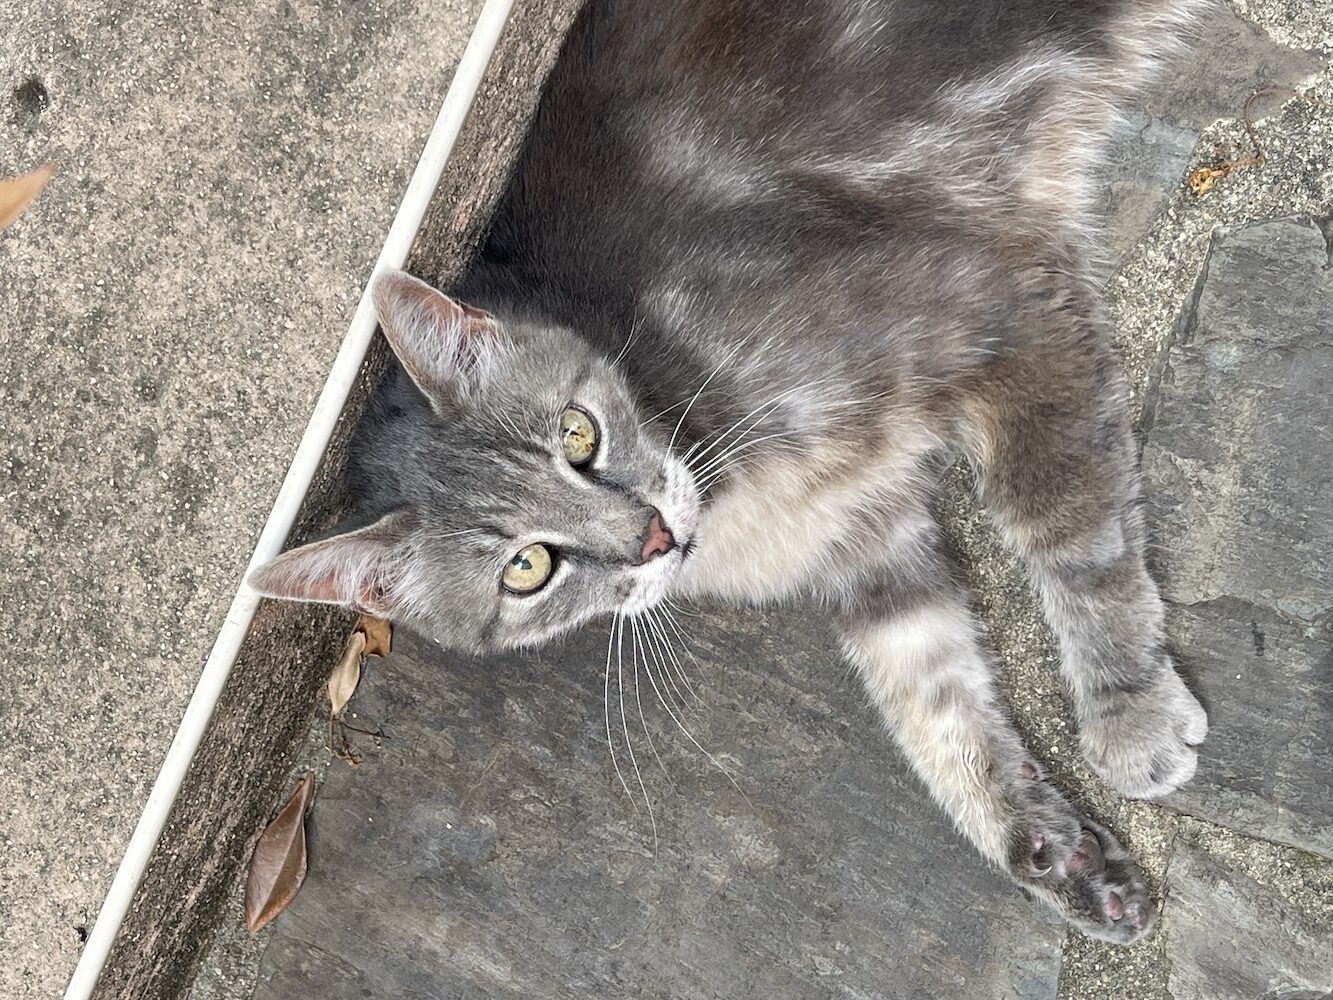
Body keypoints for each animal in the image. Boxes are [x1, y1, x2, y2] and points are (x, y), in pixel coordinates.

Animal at [251, 0, 1211, 945]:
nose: (653, 537)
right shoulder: (867, 544)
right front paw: (1050, 852)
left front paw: (1129, 713)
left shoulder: (996, 305)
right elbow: (932, 703)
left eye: (577, 434)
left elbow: (1071, 536)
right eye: (526, 568)